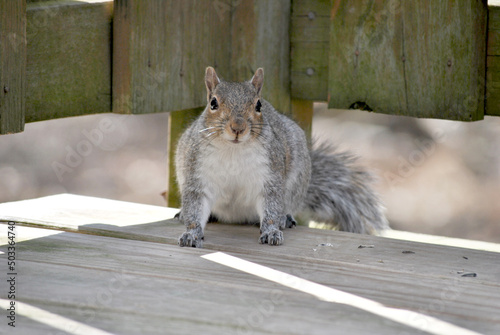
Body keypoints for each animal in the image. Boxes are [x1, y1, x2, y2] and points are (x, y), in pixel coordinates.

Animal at [175, 67, 386, 248]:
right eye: (213, 103)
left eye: (258, 105)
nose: (238, 128)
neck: (233, 150)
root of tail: (237, 217)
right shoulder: (197, 174)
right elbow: (195, 205)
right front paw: (191, 233)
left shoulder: (270, 175)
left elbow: (271, 206)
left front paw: (271, 231)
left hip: (295, 182)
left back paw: (284, 218)